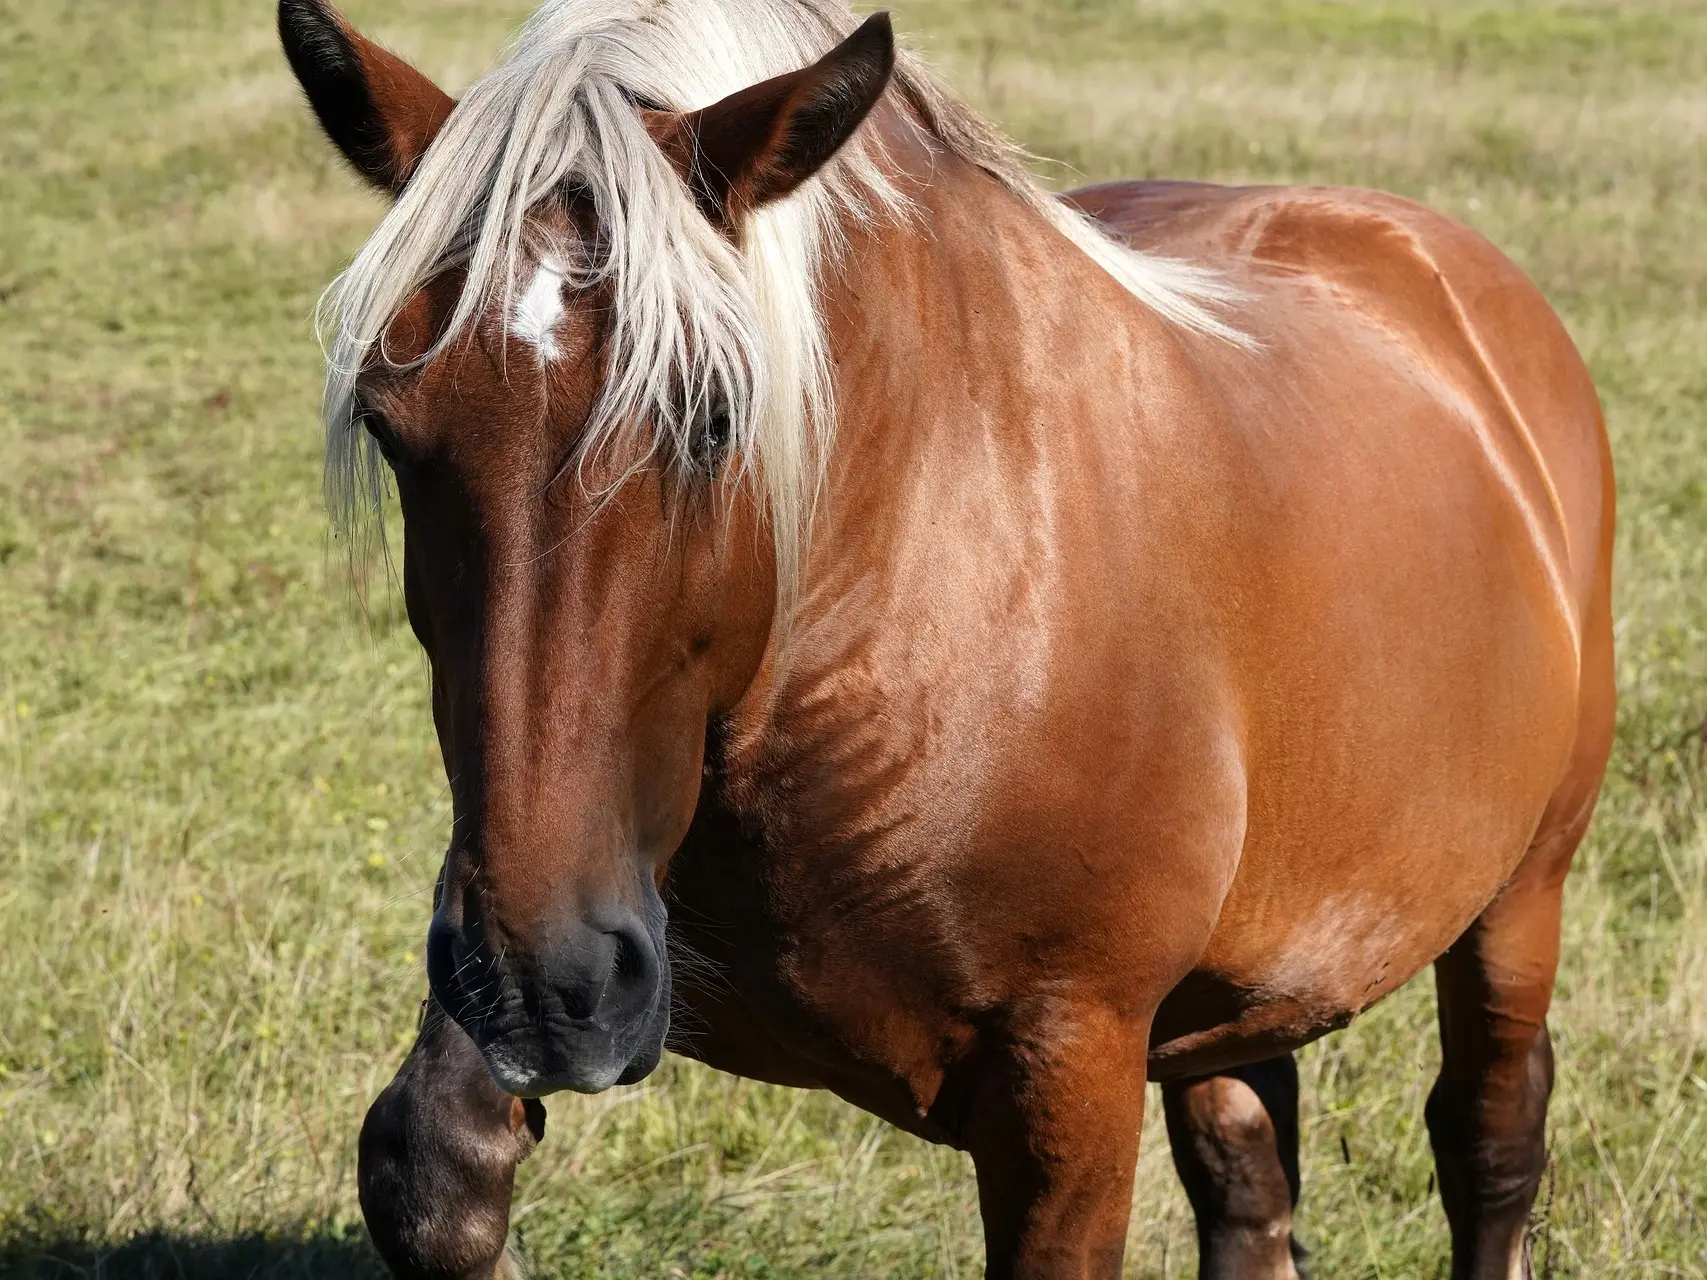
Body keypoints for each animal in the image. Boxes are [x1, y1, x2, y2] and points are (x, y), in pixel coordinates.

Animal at [279, 2, 1611, 1280]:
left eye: (714, 416)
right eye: (394, 426)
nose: (541, 986)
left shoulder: (1068, 1072)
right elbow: (428, 1170)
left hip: (1518, 899)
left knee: (1489, 1141)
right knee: (1249, 1177)